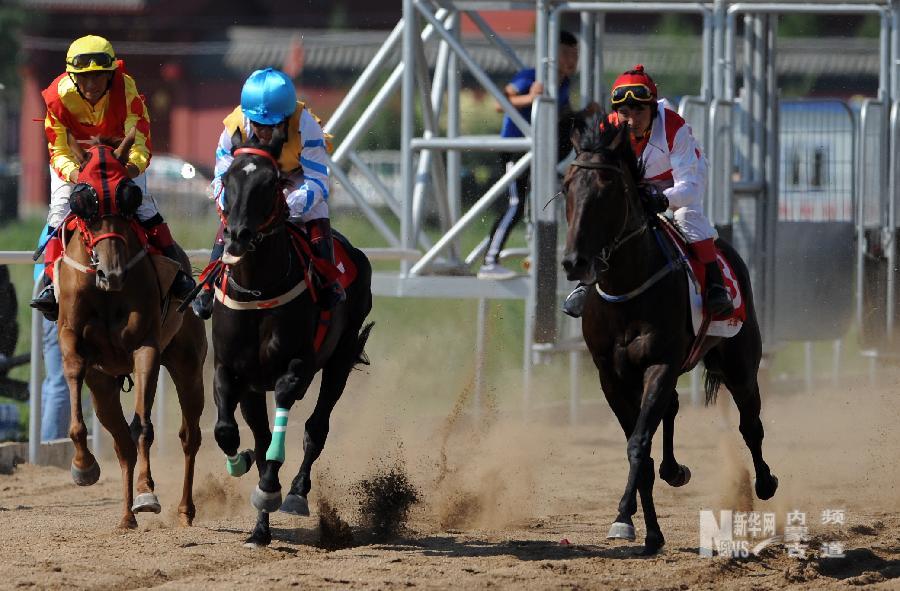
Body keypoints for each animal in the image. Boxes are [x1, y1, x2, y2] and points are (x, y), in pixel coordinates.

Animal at [54, 135, 206, 532]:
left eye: (128, 197)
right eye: (84, 202)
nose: (112, 273)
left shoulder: (146, 347)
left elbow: (145, 428)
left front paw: (147, 493)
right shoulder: (73, 340)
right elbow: (74, 376)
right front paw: (83, 466)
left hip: (188, 366)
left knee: (189, 435)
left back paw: (184, 509)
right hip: (103, 386)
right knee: (121, 441)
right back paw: (125, 516)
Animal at [211, 127, 372, 548]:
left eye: (271, 183)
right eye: (227, 178)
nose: (237, 234)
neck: (258, 289)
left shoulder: (297, 365)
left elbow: (283, 418)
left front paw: (270, 489)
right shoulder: (232, 369)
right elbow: (227, 430)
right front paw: (241, 461)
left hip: (340, 358)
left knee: (316, 428)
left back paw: (297, 492)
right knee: (262, 433)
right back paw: (260, 525)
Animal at [560, 114, 776, 556]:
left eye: (607, 191)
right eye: (567, 186)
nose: (575, 262)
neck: (628, 289)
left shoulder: (660, 362)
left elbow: (639, 443)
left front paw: (624, 517)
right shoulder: (611, 376)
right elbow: (639, 449)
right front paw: (644, 529)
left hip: (740, 363)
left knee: (751, 423)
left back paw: (764, 482)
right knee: (674, 407)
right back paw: (674, 469)